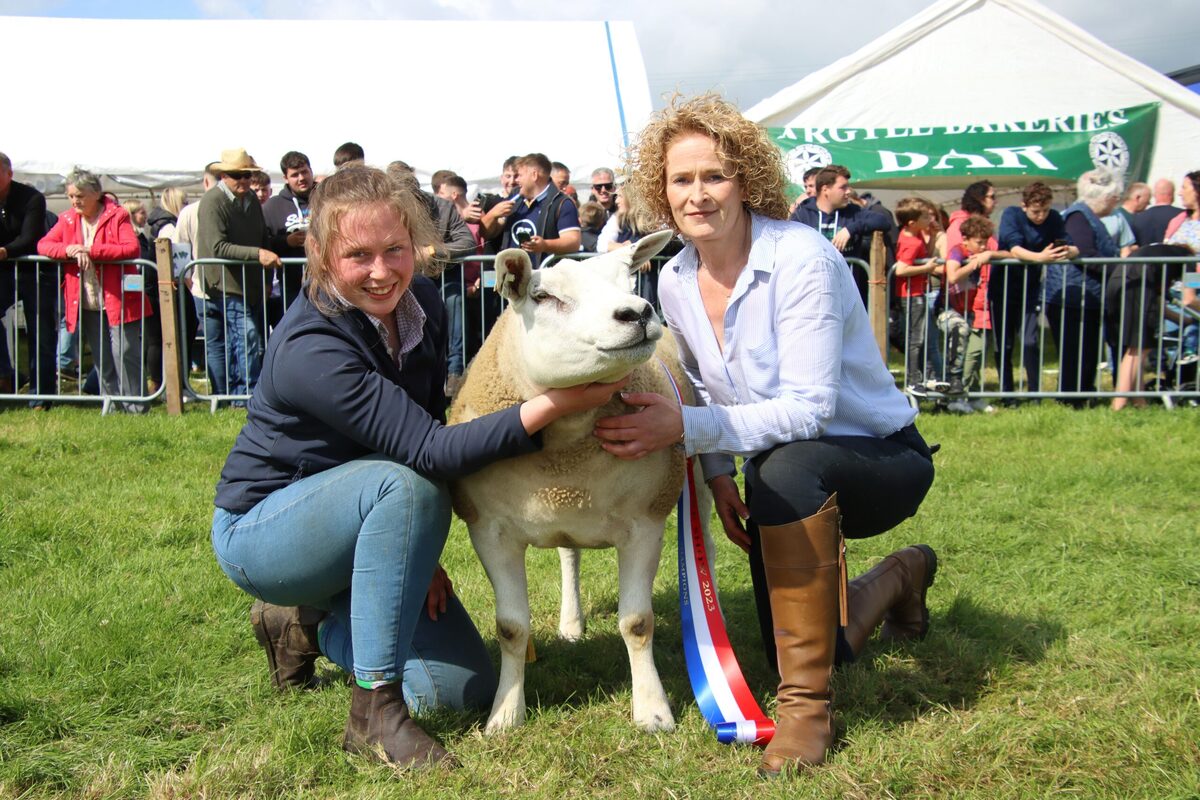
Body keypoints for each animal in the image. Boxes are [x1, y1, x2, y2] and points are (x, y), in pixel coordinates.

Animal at [451, 230, 710, 734]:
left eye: (627, 279)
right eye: (543, 296)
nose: (638, 312)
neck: (566, 453)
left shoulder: (644, 524)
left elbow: (637, 623)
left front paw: (652, 711)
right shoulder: (489, 530)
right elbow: (511, 627)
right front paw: (505, 715)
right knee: (569, 554)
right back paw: (571, 623)